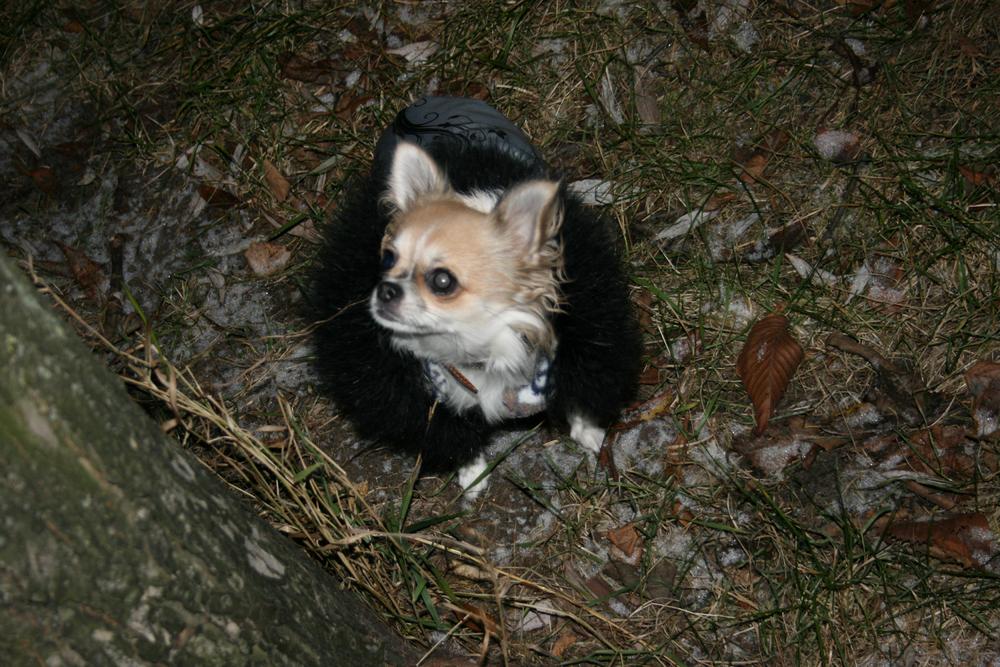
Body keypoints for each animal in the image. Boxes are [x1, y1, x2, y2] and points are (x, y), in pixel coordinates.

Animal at [311, 96, 640, 498]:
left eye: (442, 281)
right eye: (387, 259)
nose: (386, 289)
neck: (479, 355)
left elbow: (580, 395)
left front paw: (589, 430)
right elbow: (450, 432)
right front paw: (472, 472)